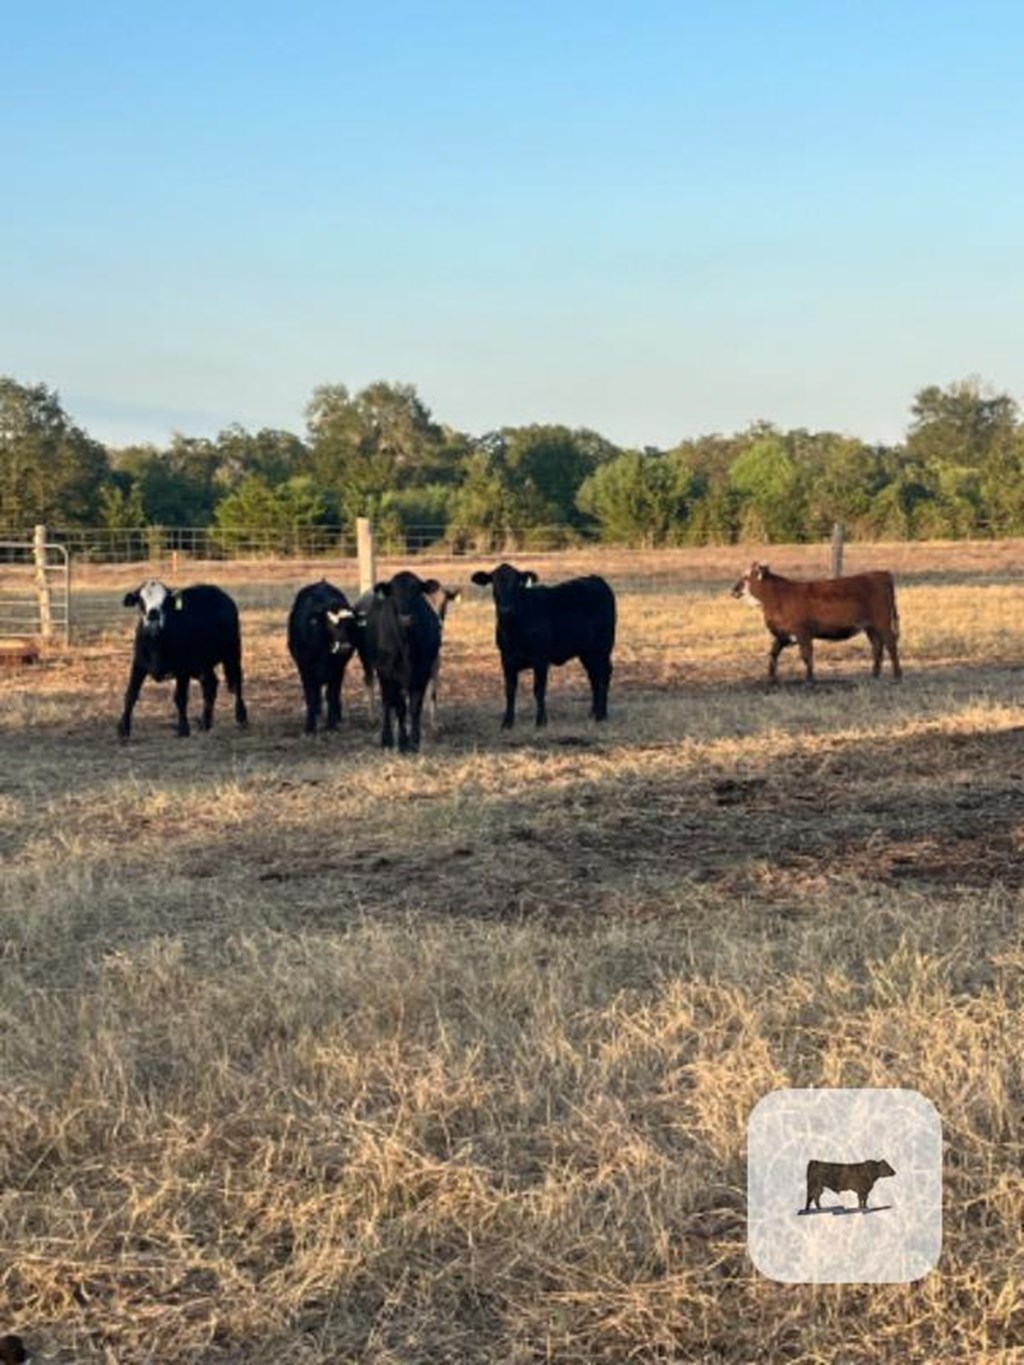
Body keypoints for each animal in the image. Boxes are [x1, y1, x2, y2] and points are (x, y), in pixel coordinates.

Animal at [118, 581, 248, 742]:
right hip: (203, 665)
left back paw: (241, 717)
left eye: (165, 602)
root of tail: (222, 595)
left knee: (236, 682)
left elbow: (180, 698)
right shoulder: (138, 665)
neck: (156, 643)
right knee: (210, 685)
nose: (153, 616)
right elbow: (131, 694)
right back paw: (205, 722)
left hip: (232, 652)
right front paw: (123, 729)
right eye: (141, 600)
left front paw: (183, 729)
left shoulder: (182, 670)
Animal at [286, 584, 371, 742]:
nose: (345, 647)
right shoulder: (305, 669)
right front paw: (310, 727)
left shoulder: (337, 670)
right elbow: (311, 697)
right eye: (331, 624)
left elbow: (332, 695)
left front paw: (332, 725)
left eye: (351, 625)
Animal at [365, 567, 442, 753]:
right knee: (387, 703)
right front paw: (402, 742)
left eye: (417, 592)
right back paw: (386, 739)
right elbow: (400, 707)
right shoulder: (390, 673)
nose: (406, 618)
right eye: (394, 593)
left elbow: (415, 707)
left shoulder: (422, 672)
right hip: (382, 673)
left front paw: (414, 742)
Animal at [472, 562, 617, 731]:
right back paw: (593, 713)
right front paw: (507, 722)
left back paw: (602, 715)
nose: (506, 609)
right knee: (594, 677)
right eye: (494, 583)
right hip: (587, 651)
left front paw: (541, 721)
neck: (514, 629)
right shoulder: (506, 659)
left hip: (603, 647)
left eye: (517, 584)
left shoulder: (540, 659)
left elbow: (539, 689)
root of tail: (596, 578)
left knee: (604, 674)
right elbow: (510, 690)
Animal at [731, 559, 901, 682]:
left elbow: (806, 655)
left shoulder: (802, 633)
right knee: (877, 647)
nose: (733, 591)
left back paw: (897, 675)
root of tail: (882, 574)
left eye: (746, 577)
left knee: (891, 645)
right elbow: (773, 653)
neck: (778, 596)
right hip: (871, 628)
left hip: (883, 624)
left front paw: (810, 679)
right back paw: (874, 675)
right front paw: (771, 677)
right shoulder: (783, 635)